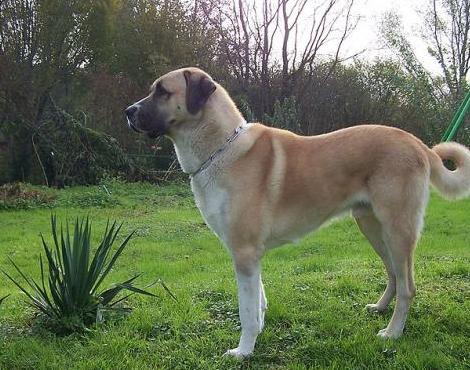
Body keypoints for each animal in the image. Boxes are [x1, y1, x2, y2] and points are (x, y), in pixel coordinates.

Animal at [125, 66, 470, 358]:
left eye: (162, 91)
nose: (128, 112)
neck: (221, 148)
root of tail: (417, 143)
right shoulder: (250, 257)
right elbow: (259, 300)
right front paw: (258, 335)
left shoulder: (244, 253)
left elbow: (246, 310)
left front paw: (243, 351)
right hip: (372, 227)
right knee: (394, 276)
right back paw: (380, 308)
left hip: (397, 230)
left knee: (408, 286)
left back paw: (392, 332)